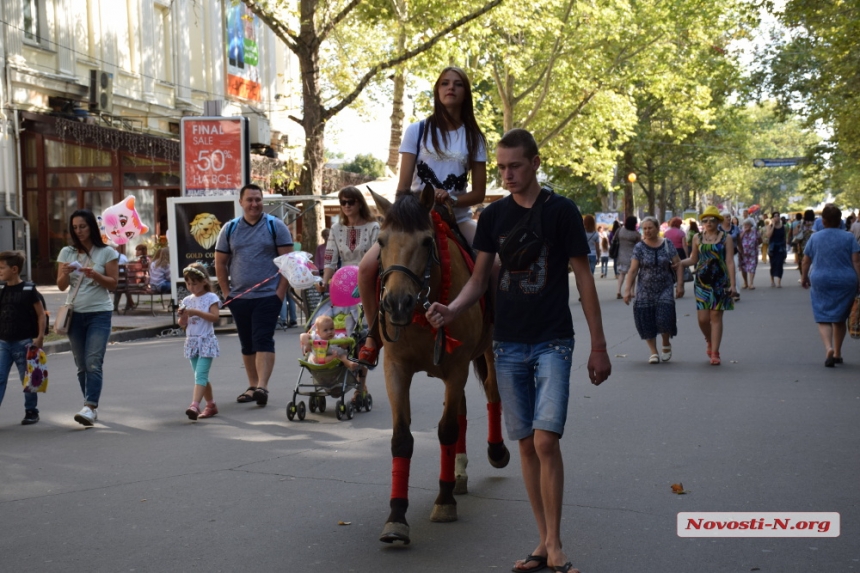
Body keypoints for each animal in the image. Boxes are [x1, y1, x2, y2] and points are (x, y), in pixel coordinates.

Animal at [372, 184, 510, 544]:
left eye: (425, 241)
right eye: (381, 241)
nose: (396, 303)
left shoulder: (458, 366)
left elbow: (446, 430)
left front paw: (443, 501)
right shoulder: (396, 368)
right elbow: (402, 438)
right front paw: (396, 517)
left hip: (487, 353)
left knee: (492, 395)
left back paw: (495, 452)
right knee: (461, 410)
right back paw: (458, 474)